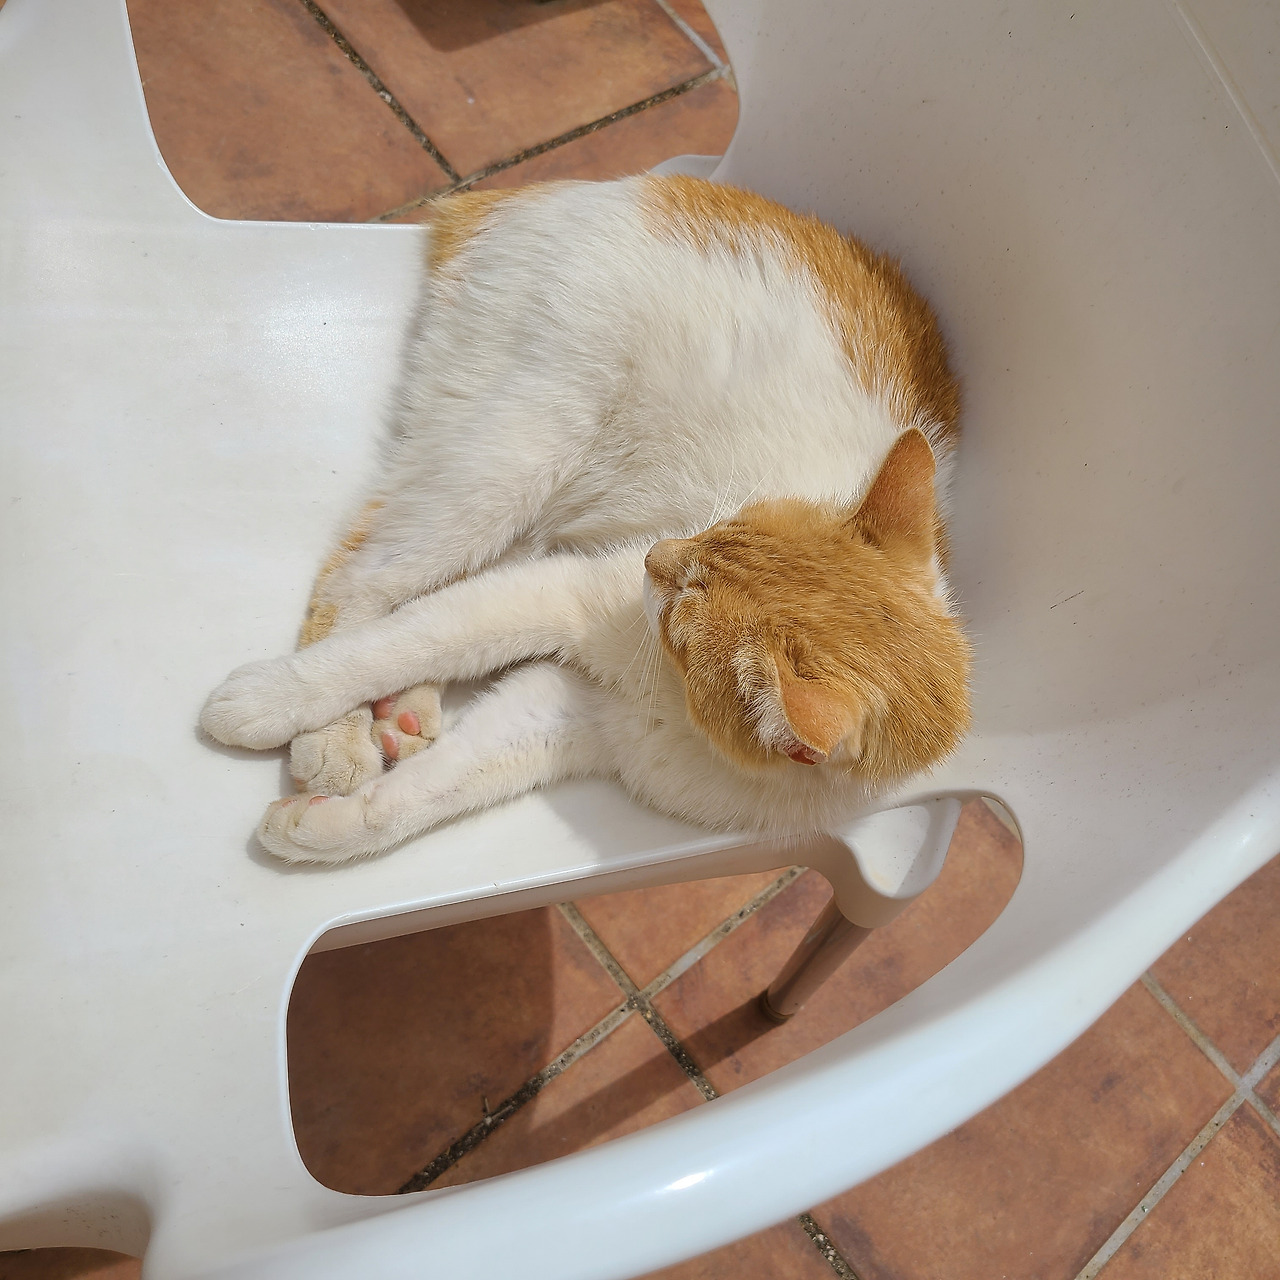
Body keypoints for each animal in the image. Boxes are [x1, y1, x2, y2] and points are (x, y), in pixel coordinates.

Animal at [200, 175, 971, 864]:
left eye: (688, 614)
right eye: (725, 523)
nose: (656, 557)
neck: (669, 703)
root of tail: (568, 188)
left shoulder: (570, 714)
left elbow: (432, 790)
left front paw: (319, 829)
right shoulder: (564, 593)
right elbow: (406, 643)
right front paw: (265, 704)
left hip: (538, 502)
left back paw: (403, 713)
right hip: (517, 455)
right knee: (365, 574)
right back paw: (333, 736)